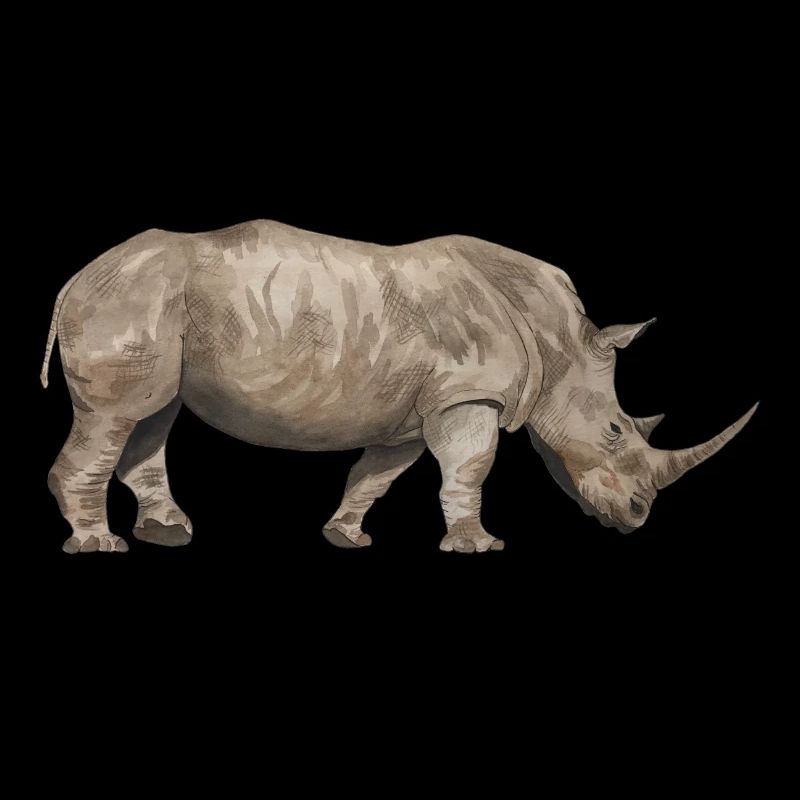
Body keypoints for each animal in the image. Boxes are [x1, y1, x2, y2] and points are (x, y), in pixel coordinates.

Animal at [41, 220, 757, 554]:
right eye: (613, 430)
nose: (635, 517)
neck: (562, 343)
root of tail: (78, 276)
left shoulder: (413, 410)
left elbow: (378, 475)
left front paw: (345, 538)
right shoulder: (468, 392)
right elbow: (471, 467)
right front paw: (478, 547)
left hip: (153, 310)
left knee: (151, 417)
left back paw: (167, 533)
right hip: (131, 300)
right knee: (115, 416)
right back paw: (99, 546)